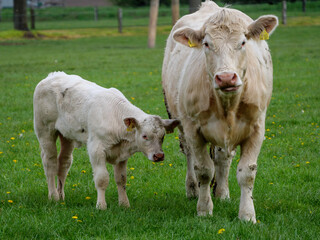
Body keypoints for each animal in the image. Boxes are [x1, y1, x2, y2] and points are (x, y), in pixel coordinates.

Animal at [35, 71, 181, 210]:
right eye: (144, 136)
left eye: (162, 136)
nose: (159, 156)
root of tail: (53, 75)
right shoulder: (96, 149)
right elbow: (102, 179)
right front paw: (101, 206)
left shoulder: (122, 154)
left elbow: (121, 179)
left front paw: (124, 204)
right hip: (45, 131)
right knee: (50, 162)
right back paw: (53, 196)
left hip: (66, 135)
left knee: (64, 162)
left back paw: (61, 196)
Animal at [162, 0, 278, 222]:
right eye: (207, 44)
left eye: (243, 42)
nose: (225, 78)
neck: (228, 105)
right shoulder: (193, 129)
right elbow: (204, 170)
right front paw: (204, 209)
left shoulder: (257, 128)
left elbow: (246, 173)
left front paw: (247, 214)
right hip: (179, 120)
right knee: (189, 154)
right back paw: (192, 189)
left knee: (223, 159)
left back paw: (222, 193)